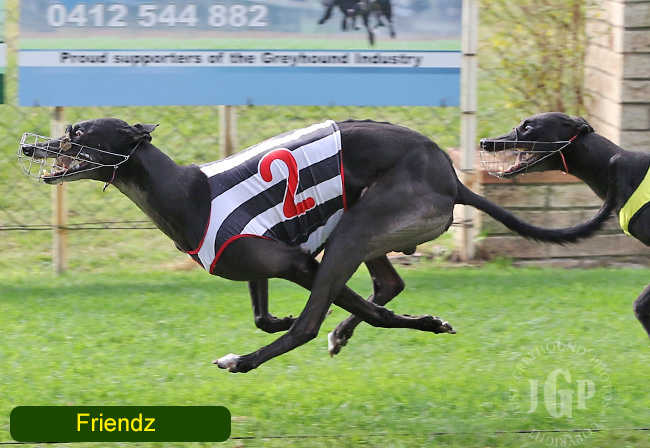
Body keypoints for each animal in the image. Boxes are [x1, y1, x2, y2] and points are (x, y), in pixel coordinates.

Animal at [19, 118, 615, 373]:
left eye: (76, 134)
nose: (27, 146)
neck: (187, 193)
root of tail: (451, 177)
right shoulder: (262, 260)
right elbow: (268, 315)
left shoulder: (301, 262)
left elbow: (329, 316)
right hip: (365, 229)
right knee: (388, 283)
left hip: (354, 233)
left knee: (330, 315)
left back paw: (245, 362)